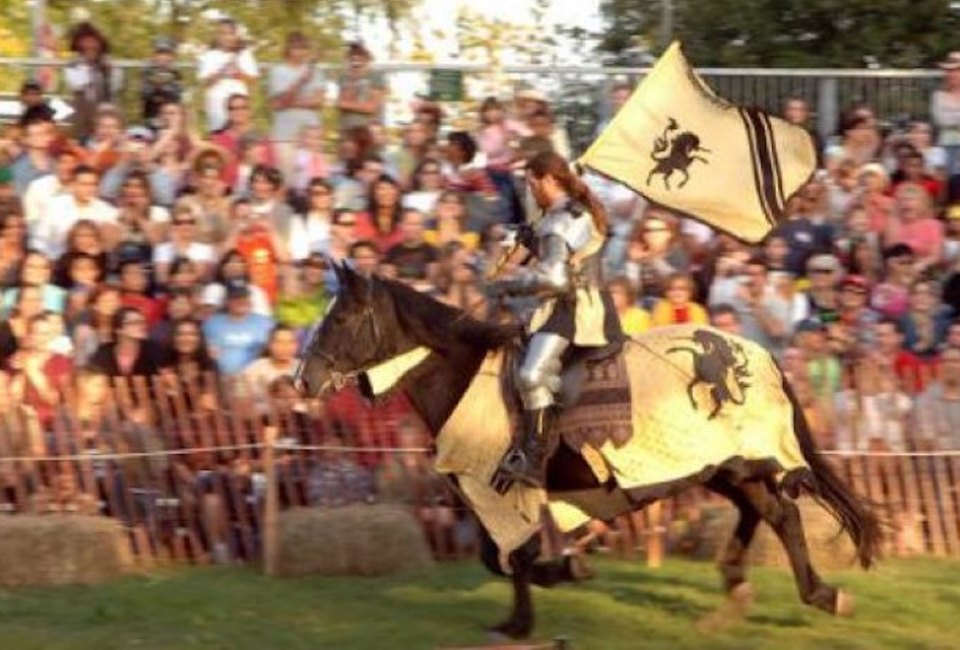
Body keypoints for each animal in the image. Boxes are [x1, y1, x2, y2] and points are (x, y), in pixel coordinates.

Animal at [296, 152, 880, 636]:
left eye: (342, 318)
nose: (303, 378)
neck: (463, 373)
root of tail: (761, 354)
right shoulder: (482, 494)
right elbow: (497, 556)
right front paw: (533, 601)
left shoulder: (496, 487)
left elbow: (518, 555)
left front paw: (545, 593)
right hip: (723, 465)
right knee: (765, 511)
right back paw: (745, 589)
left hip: (737, 459)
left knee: (781, 513)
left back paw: (818, 594)